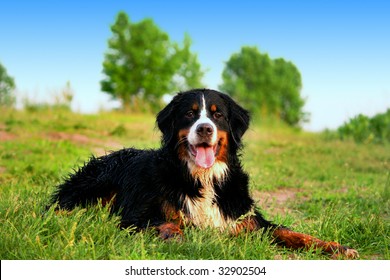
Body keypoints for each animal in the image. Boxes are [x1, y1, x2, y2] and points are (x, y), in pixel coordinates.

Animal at [50, 88, 358, 258]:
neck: (204, 178)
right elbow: (167, 223)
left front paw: (338, 248)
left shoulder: (247, 219)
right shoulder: (134, 216)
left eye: (217, 114)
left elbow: (293, 233)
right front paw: (176, 238)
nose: (205, 128)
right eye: (190, 113)